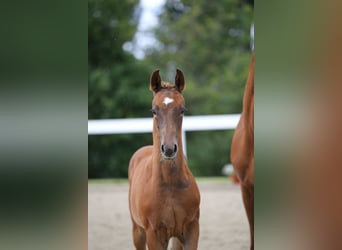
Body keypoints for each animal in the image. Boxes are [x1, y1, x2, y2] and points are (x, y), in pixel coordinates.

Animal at [128, 69, 200, 249]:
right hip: (137, 231)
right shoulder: (153, 234)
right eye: (154, 110)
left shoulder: (192, 229)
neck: (169, 185)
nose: (168, 149)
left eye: (182, 110)